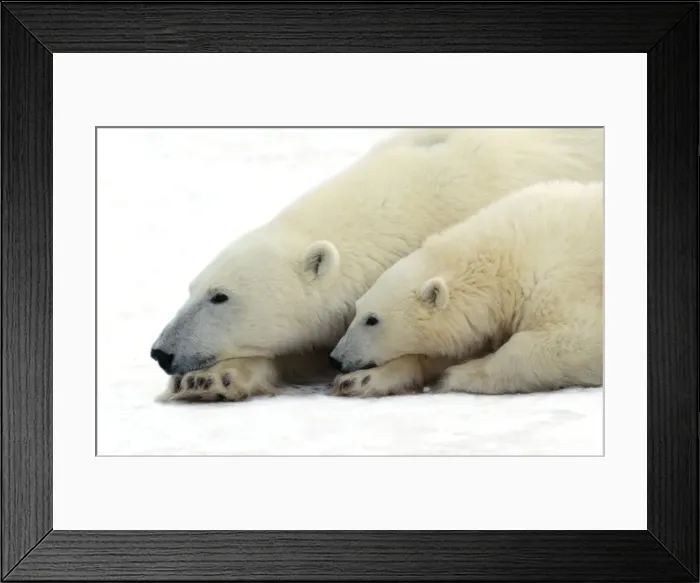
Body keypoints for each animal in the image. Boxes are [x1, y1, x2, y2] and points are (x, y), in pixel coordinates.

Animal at [329, 180, 603, 397]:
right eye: (357, 309)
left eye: (372, 319)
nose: (336, 359)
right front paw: (357, 381)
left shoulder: (562, 281)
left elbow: (575, 340)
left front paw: (459, 374)